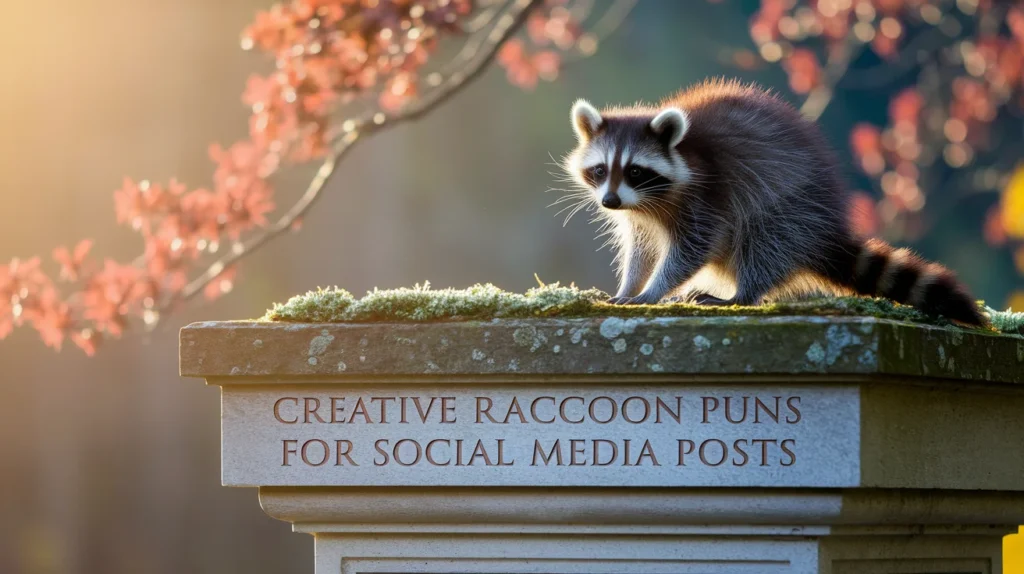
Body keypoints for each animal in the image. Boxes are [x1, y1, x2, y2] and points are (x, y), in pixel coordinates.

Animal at [561, 78, 986, 326]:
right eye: (600, 170)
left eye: (635, 171)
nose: (610, 201)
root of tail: (828, 227)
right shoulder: (638, 214)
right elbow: (641, 249)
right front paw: (630, 285)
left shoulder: (708, 192)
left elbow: (692, 249)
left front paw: (653, 291)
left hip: (794, 205)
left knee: (765, 240)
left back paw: (741, 295)